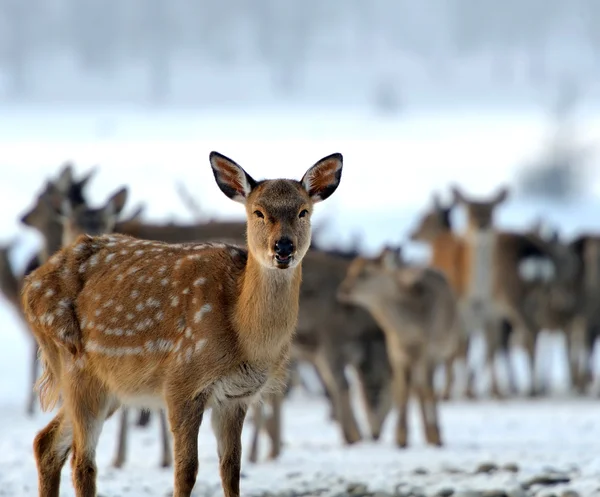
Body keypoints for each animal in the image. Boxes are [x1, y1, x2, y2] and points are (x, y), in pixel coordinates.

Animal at [22, 150, 342, 496]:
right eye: (258, 211)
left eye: (303, 211)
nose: (283, 247)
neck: (242, 334)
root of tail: (30, 285)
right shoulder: (181, 383)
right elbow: (186, 470)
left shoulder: (236, 397)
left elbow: (231, 469)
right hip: (76, 366)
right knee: (82, 462)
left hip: (108, 387)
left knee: (45, 442)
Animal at [338, 246, 460, 448]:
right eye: (350, 270)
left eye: (365, 272)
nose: (343, 290)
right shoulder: (396, 353)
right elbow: (402, 391)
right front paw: (401, 438)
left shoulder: (429, 352)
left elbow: (429, 391)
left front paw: (436, 437)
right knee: (416, 389)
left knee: (424, 389)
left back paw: (432, 434)